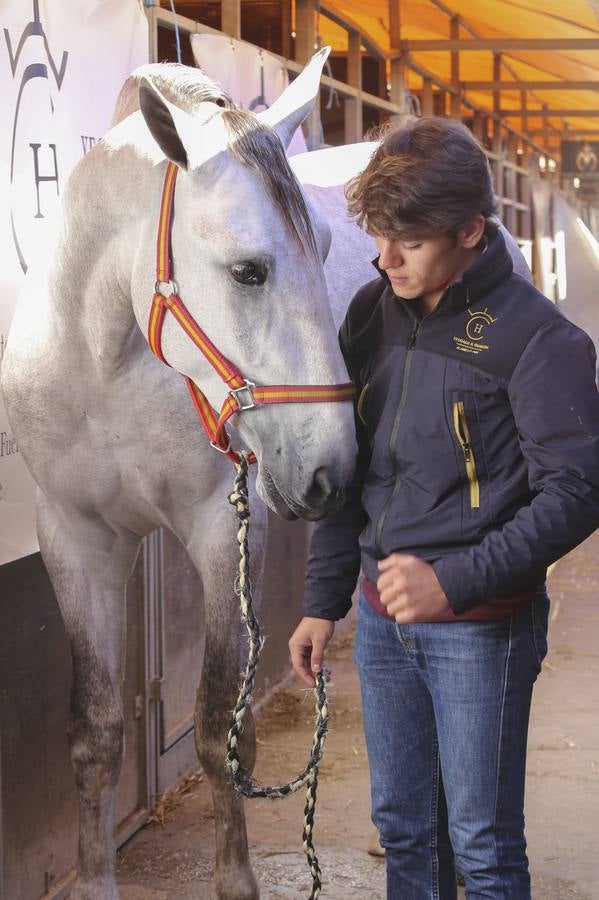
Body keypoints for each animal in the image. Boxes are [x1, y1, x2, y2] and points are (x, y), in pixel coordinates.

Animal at [1, 52, 370, 896]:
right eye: (248, 271)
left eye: (323, 247)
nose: (334, 468)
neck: (108, 355)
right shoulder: (75, 539)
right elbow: (96, 732)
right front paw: (96, 880)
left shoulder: (222, 528)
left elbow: (217, 732)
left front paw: (236, 879)